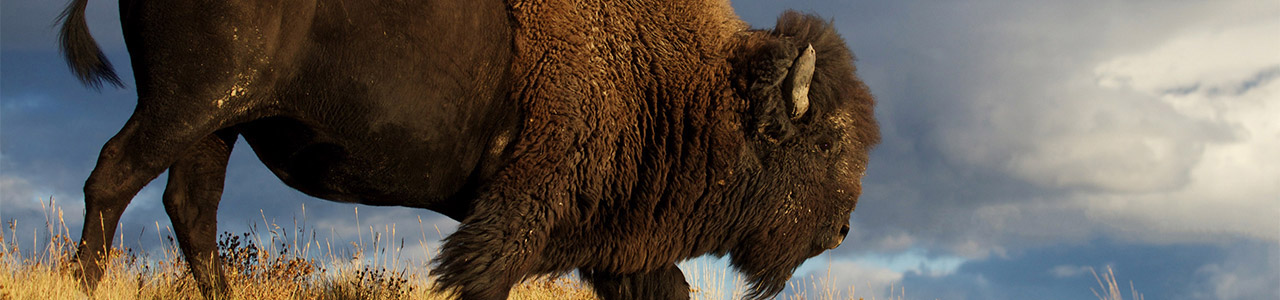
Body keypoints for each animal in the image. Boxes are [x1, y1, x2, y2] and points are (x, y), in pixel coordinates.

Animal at [60, 0, 880, 297]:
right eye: (822, 140)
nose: (841, 230)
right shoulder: (518, 218)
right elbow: (483, 276)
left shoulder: (618, 246)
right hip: (185, 105)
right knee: (112, 178)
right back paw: (83, 284)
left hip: (219, 122)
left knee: (189, 208)